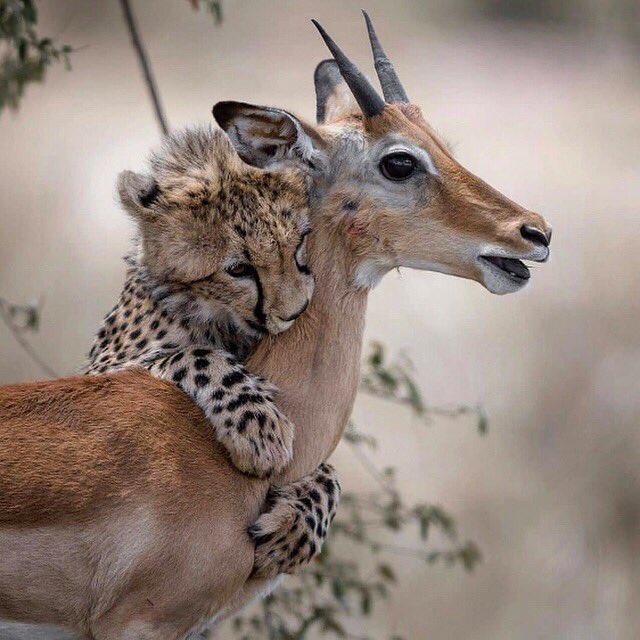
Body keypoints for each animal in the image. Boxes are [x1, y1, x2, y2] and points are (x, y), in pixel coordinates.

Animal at [84, 125, 339, 577]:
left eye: (301, 242)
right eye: (238, 269)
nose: (295, 311)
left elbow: (329, 473)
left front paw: (302, 523)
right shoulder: (99, 376)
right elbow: (195, 355)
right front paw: (259, 427)